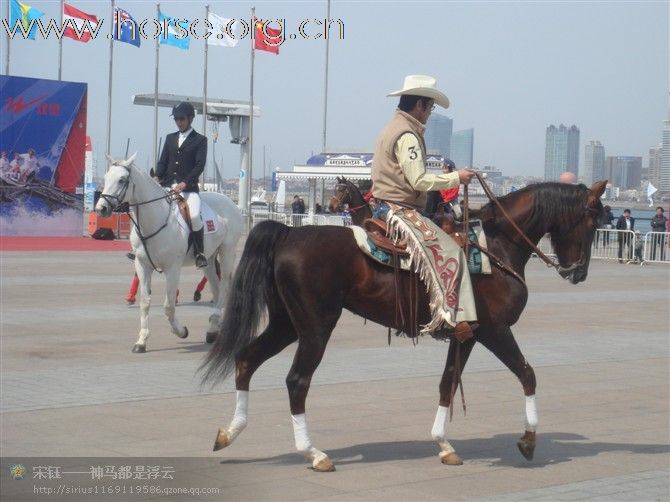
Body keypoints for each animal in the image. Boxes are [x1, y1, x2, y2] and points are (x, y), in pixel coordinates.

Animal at [93, 155, 243, 354]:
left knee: (225, 285)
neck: (154, 220)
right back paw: (213, 329)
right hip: (209, 259)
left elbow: (169, 306)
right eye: (106, 177)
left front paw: (181, 331)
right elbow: (145, 302)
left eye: (122, 180)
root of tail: (230, 201)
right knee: (216, 288)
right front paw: (141, 341)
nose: (101, 209)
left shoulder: (172, 269)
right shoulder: (142, 265)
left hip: (226, 252)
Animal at [201, 179, 608, 470]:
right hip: (315, 327)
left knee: (246, 359)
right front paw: (528, 440)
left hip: (287, 324)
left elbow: (448, 383)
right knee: (297, 381)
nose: (579, 273)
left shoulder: (466, 336)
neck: (496, 247)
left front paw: (443, 444)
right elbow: (527, 374)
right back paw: (313, 453)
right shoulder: (495, 331)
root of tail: (290, 232)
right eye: (592, 221)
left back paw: (229, 432)